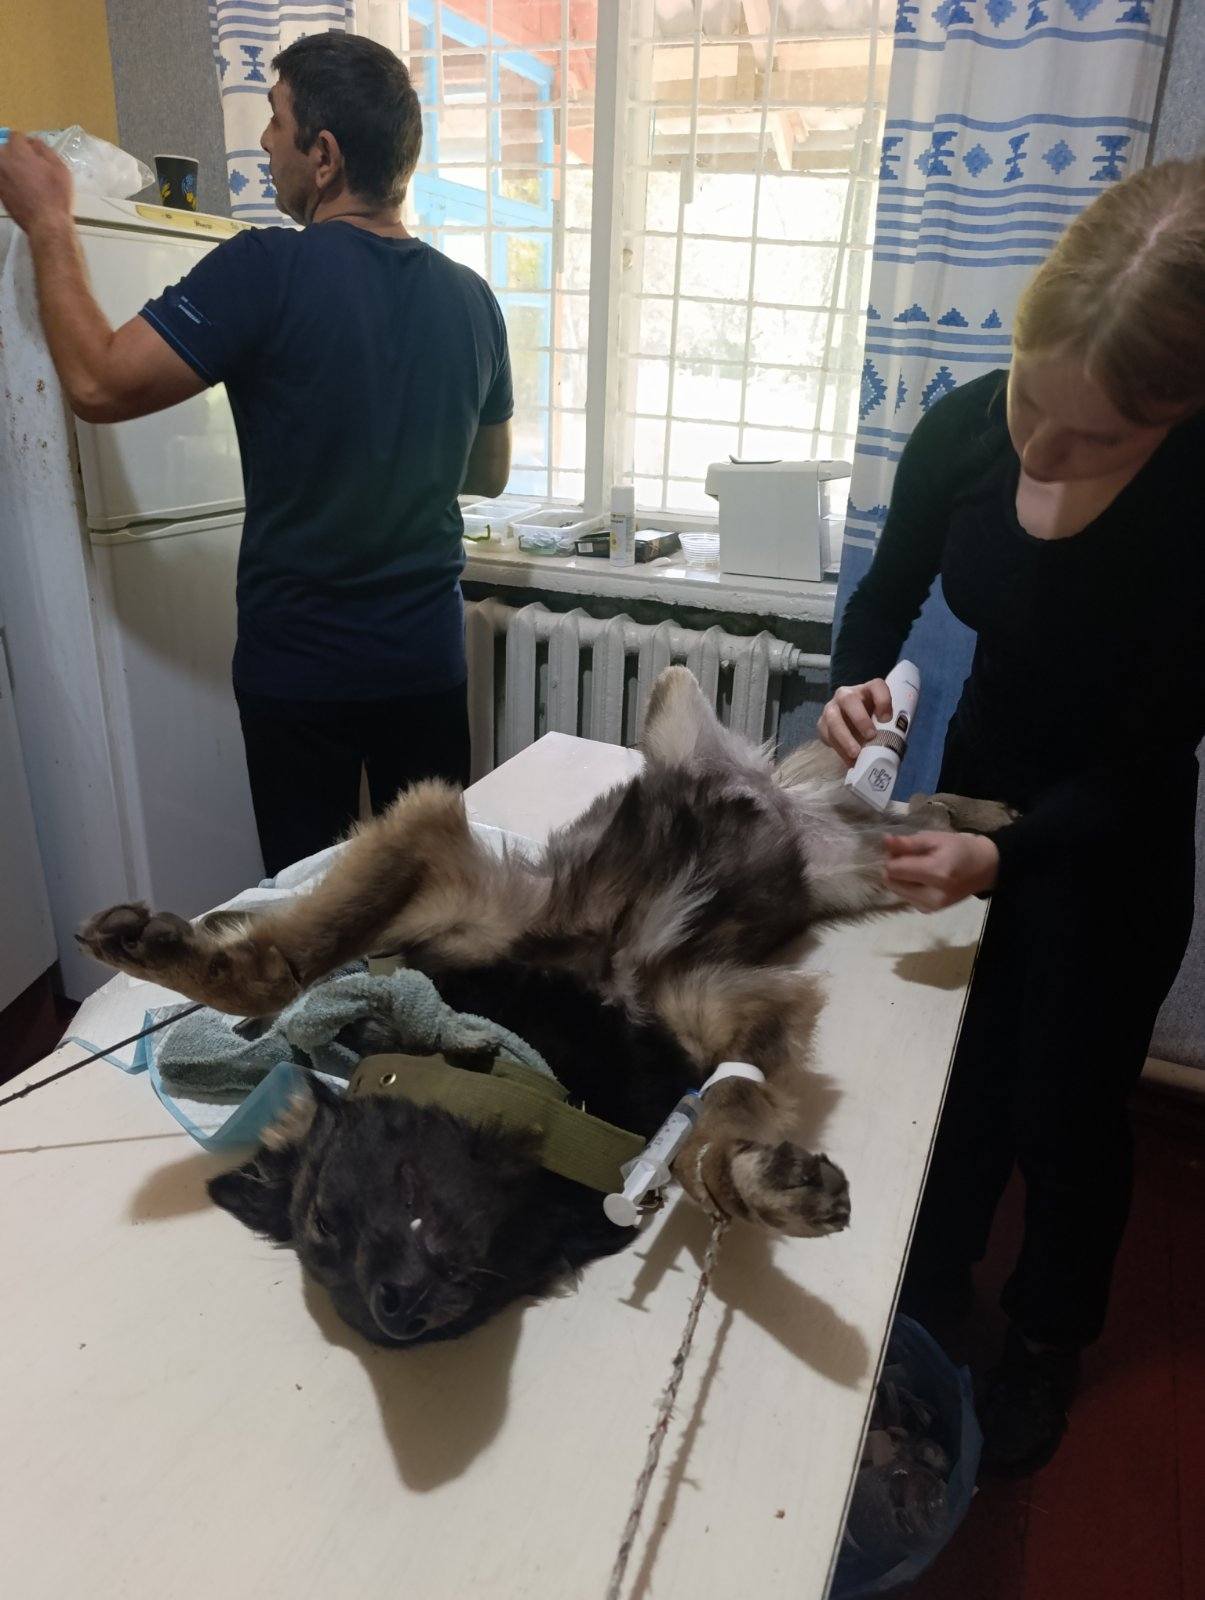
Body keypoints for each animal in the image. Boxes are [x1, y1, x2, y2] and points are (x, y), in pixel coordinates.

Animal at [79, 667, 1012, 1347]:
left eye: (324, 1218)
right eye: (321, 1243)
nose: (391, 1314)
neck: (542, 1051)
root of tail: (784, 793)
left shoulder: (446, 871)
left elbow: (285, 964)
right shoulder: (738, 998)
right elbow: (708, 1114)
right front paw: (744, 1177)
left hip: (693, 719)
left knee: (907, 793)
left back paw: (970, 794)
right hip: (865, 853)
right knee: (914, 806)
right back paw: (975, 814)